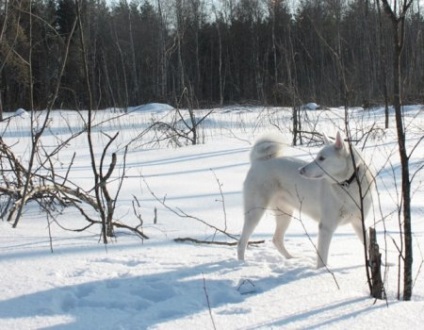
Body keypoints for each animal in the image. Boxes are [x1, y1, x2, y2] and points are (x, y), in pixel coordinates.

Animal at [238, 132, 374, 268]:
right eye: (317, 157)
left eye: (322, 158)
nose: (300, 170)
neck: (347, 184)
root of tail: (260, 161)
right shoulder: (326, 227)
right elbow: (322, 259)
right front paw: (321, 271)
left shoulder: (359, 223)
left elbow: (368, 244)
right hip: (255, 213)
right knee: (242, 241)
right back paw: (241, 263)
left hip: (285, 215)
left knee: (276, 239)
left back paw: (291, 259)